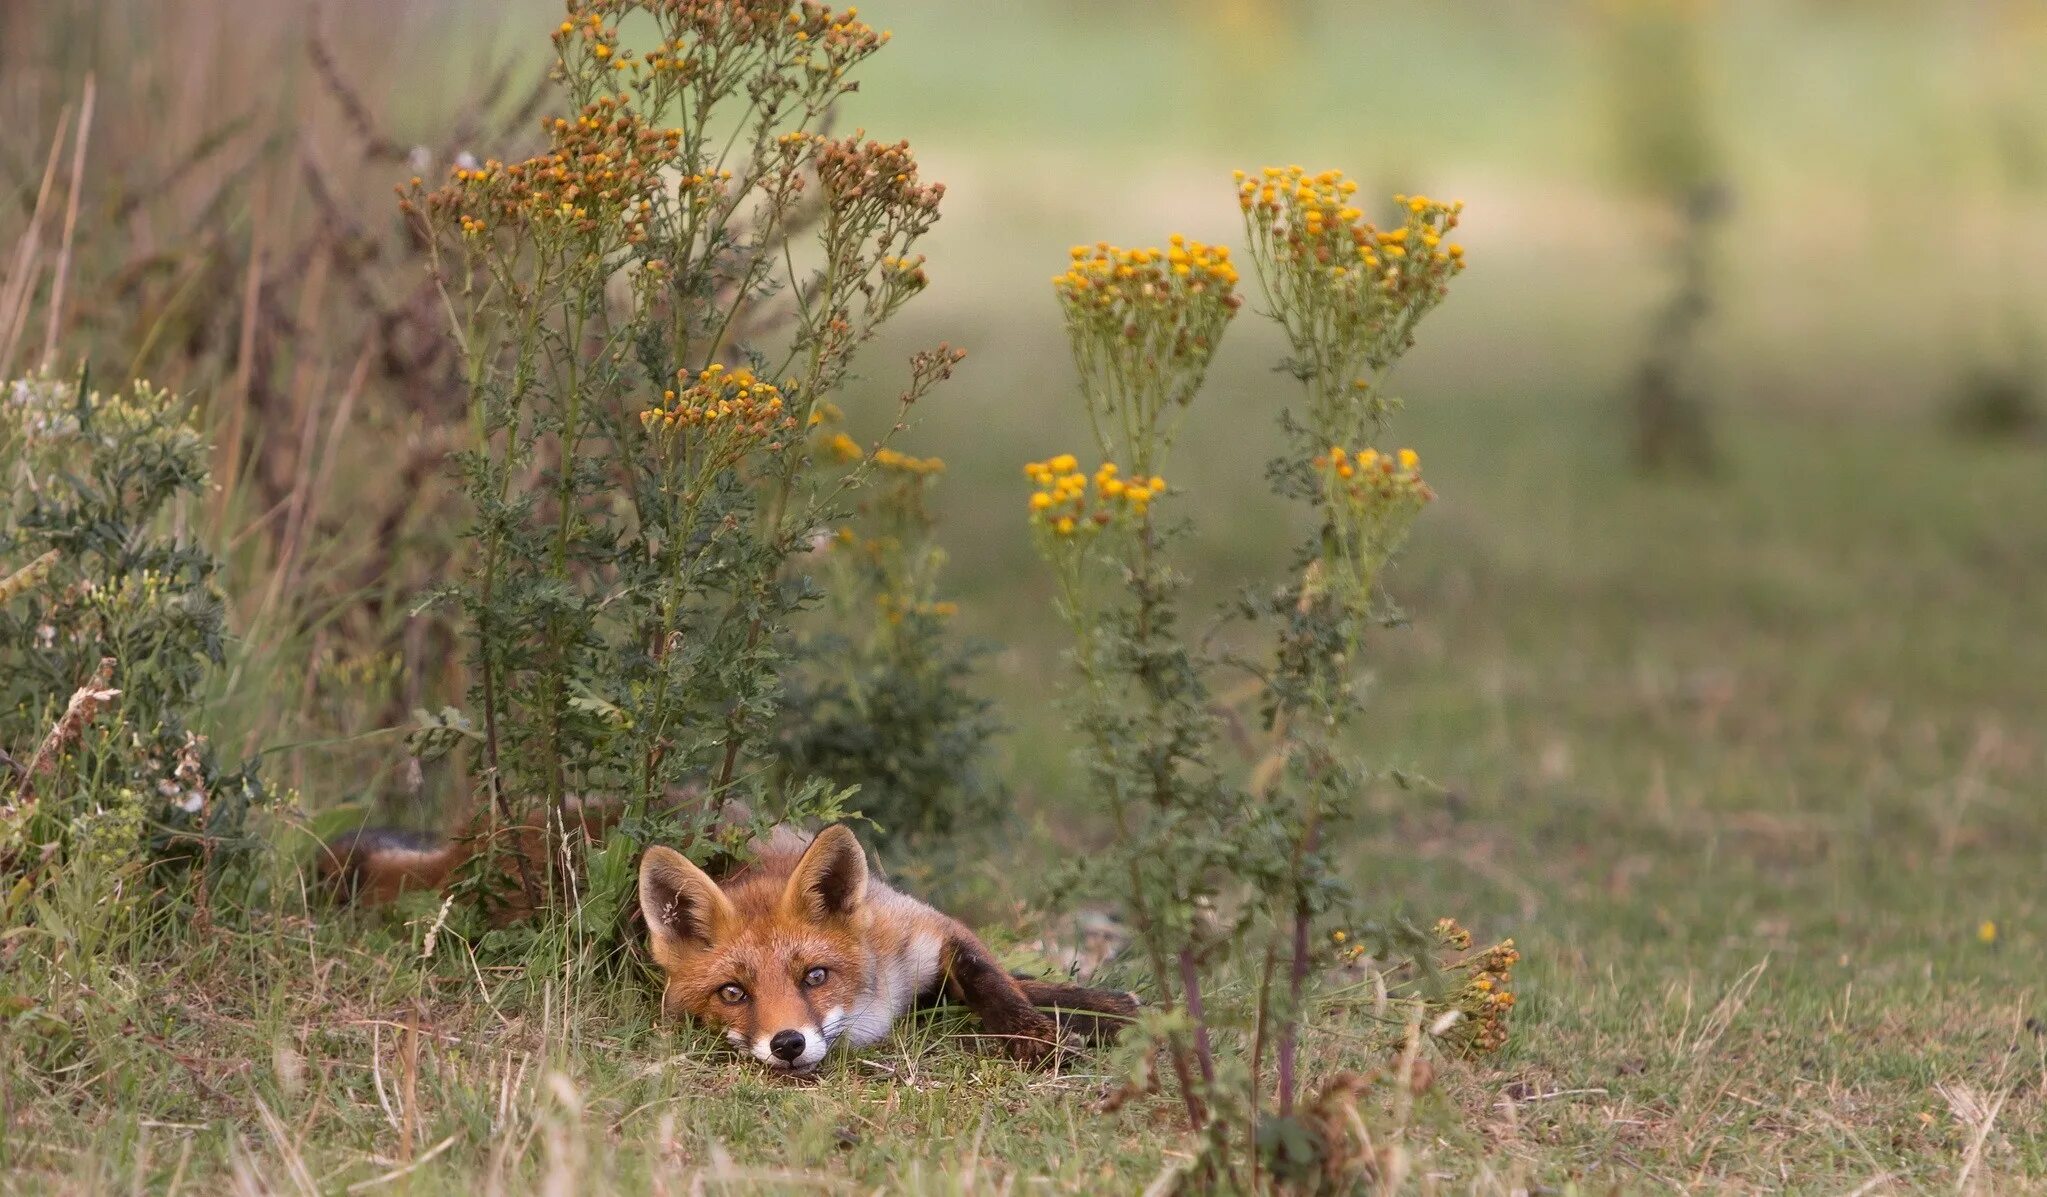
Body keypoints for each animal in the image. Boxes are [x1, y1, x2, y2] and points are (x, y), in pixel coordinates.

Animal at [319, 810, 1138, 1064]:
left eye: (814, 976)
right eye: (733, 993)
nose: (788, 1044)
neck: (875, 1004)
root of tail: (482, 833)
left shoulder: (927, 930)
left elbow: (1001, 983)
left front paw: (1074, 1018)